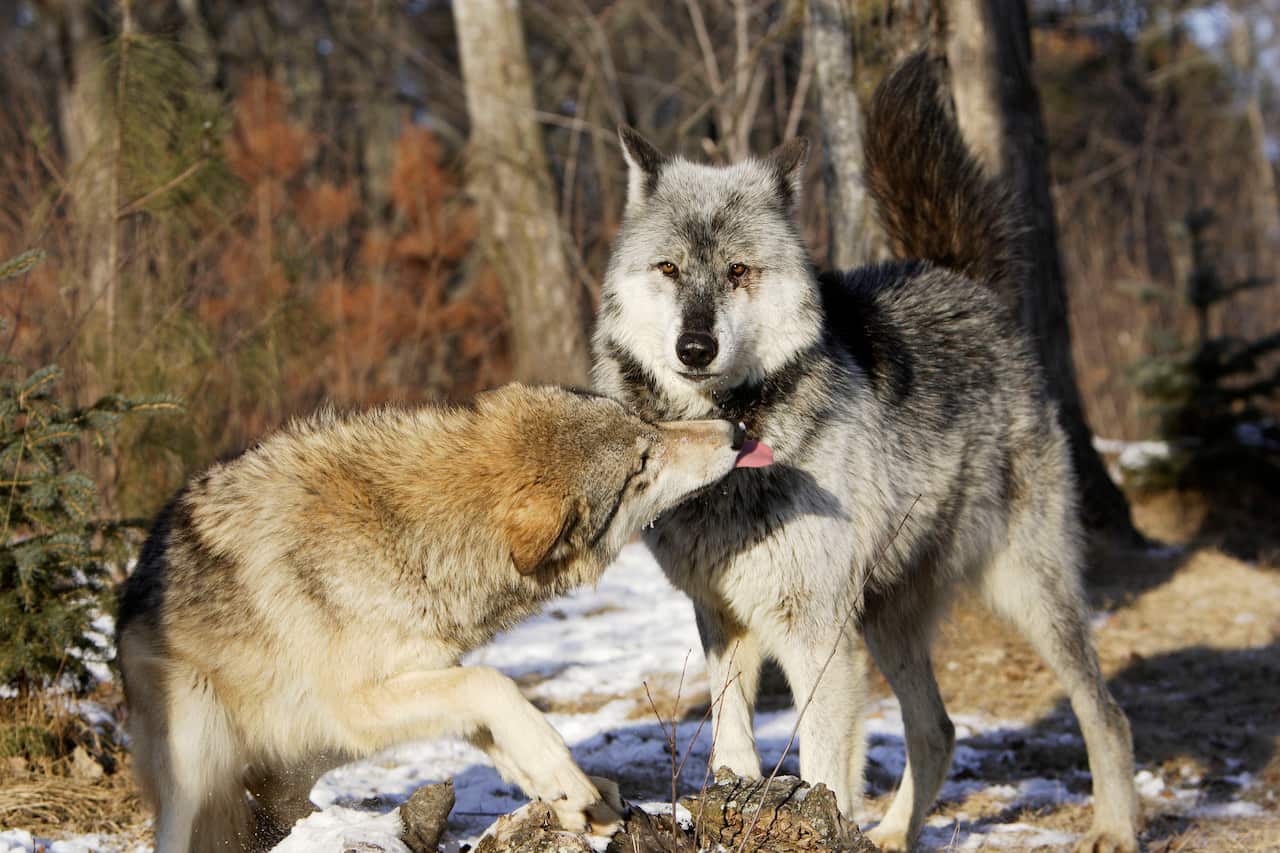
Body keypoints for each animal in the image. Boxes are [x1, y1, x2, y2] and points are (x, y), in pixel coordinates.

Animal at [116, 383, 771, 853]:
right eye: (642, 464)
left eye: (644, 425)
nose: (736, 430)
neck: (414, 529)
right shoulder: (360, 703)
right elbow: (496, 686)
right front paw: (566, 780)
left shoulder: (427, 675)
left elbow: (498, 718)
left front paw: (574, 797)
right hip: (203, 756)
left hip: (320, 744)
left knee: (278, 798)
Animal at [592, 53, 1139, 852]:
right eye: (667, 269)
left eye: (737, 272)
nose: (694, 347)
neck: (736, 436)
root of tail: (960, 277)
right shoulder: (722, 617)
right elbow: (730, 743)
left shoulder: (817, 634)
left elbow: (823, 766)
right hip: (885, 617)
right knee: (938, 729)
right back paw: (892, 834)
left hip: (1027, 591)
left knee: (1105, 711)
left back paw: (1117, 826)